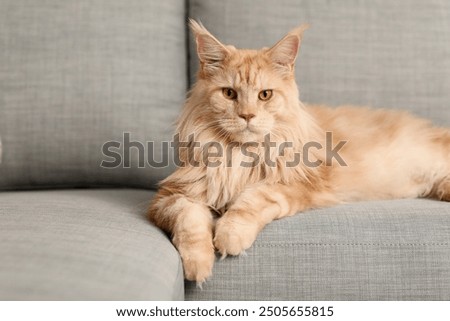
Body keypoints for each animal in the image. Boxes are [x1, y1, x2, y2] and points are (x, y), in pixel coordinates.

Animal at [149, 19, 450, 282]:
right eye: (229, 94)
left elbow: (250, 201)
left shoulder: (296, 186)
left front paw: (229, 236)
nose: (247, 115)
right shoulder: (172, 196)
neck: (241, 156)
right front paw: (198, 265)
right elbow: (189, 222)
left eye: (265, 95)